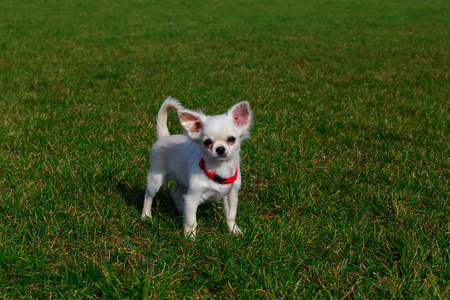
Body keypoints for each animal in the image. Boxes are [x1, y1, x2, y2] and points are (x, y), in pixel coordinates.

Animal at [142, 97, 253, 238]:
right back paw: (146, 216)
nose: (220, 149)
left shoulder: (231, 194)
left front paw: (234, 230)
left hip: (183, 182)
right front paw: (190, 236)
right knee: (148, 196)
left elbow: (231, 215)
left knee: (175, 193)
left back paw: (180, 211)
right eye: (207, 142)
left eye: (231, 139)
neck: (219, 168)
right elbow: (191, 220)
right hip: (155, 179)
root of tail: (165, 136)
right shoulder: (192, 197)